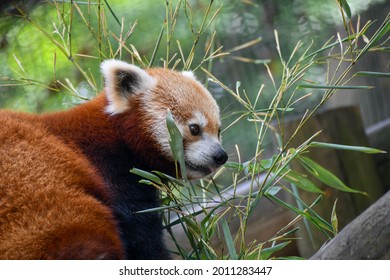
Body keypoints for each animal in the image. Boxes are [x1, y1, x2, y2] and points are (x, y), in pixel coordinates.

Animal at [0, 59, 229, 260]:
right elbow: (141, 237)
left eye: (218, 130)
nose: (221, 156)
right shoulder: (109, 169)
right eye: (194, 129)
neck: (117, 137)